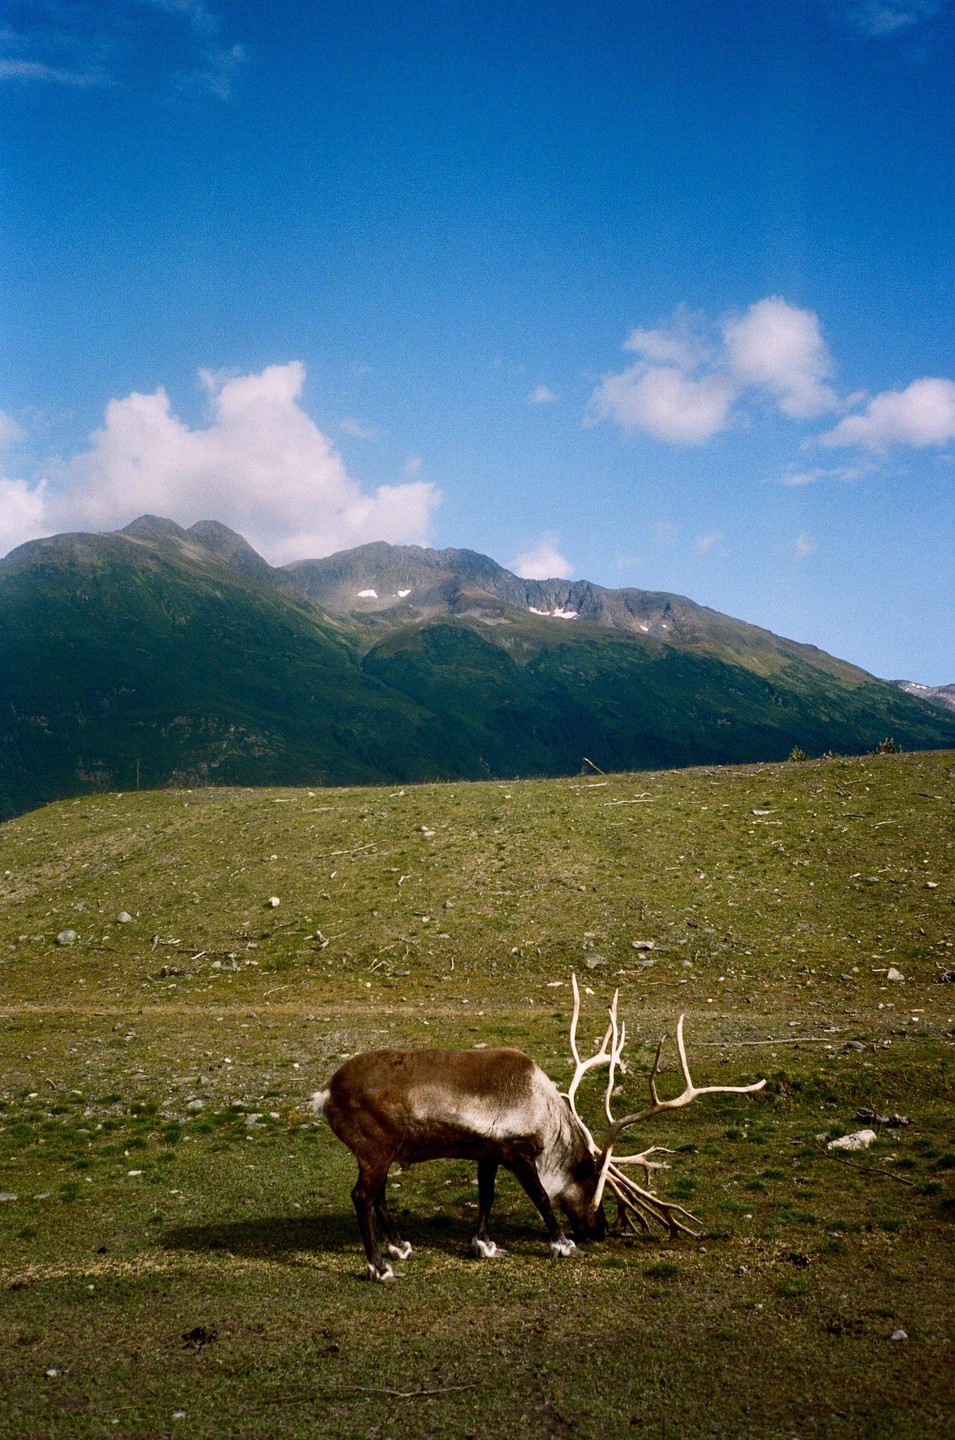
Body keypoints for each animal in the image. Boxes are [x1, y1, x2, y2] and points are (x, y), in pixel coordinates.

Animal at [312, 976, 765, 1280]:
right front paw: (563, 1244)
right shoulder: (518, 1152)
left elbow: (487, 1197)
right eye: (594, 1191)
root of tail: (325, 1092)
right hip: (375, 1149)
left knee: (378, 1195)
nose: (600, 1232)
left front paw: (485, 1245)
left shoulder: (488, 1152)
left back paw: (401, 1246)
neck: (547, 1111)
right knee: (362, 1195)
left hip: (382, 1154)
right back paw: (379, 1266)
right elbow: (543, 1199)